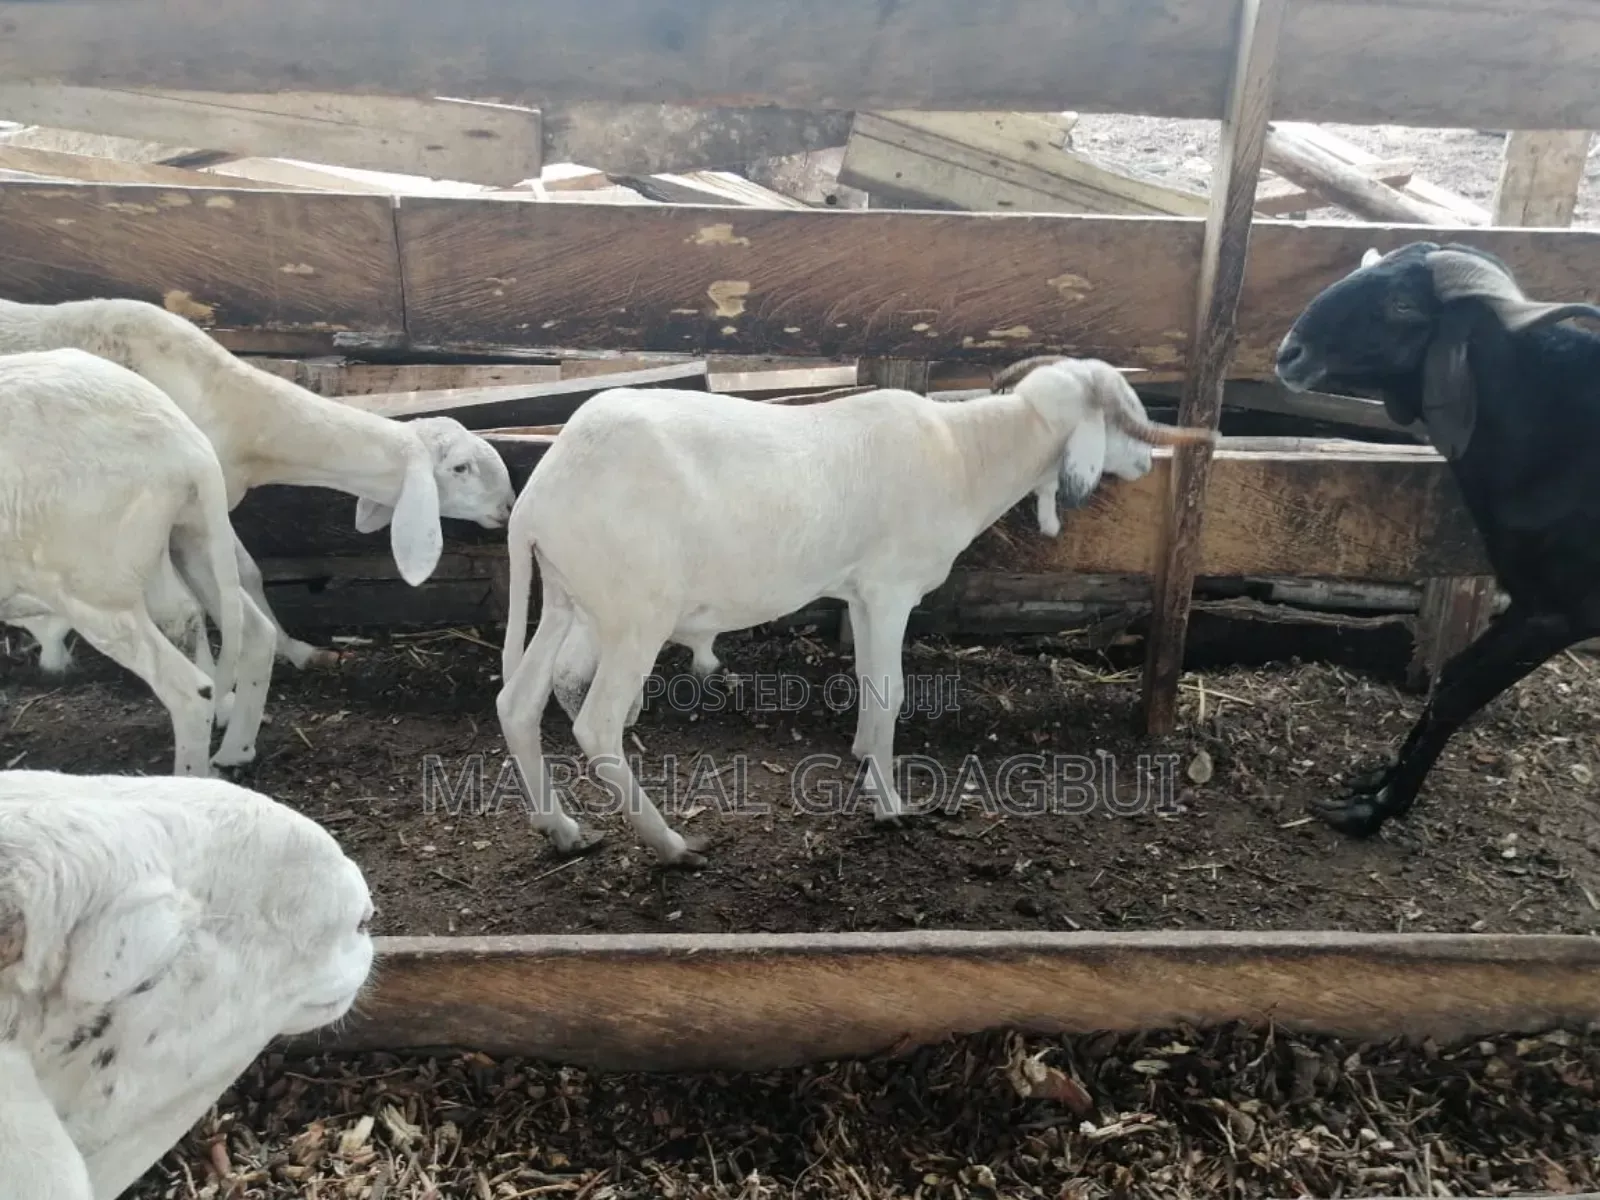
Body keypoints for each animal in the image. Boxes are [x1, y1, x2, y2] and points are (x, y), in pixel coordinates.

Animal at [0, 295, 517, 677]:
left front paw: (299, 651)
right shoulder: (188, 519)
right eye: (461, 468)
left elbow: (246, 575)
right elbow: (209, 598)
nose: (509, 506)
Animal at [0, 348, 278, 775]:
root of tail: (192, 450)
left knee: (190, 691)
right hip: (190, 539)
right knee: (254, 633)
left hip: (95, 586)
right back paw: (236, 751)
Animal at [497, 356, 1217, 867]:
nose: (1147, 460)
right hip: (634, 611)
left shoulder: (864, 594)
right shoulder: (892, 588)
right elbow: (892, 690)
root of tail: (539, 497)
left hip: (566, 597)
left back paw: (562, 829)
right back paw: (672, 846)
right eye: (1124, 418)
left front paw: (868, 768)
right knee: (596, 725)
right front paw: (894, 805)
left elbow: (872, 686)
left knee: (518, 703)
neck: (969, 455)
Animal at [1274, 240, 1600, 836]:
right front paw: (1375, 780)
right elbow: (1450, 677)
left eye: (1404, 305)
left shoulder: (1562, 612)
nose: (1291, 353)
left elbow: (1455, 695)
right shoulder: (1528, 599)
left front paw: (1376, 808)